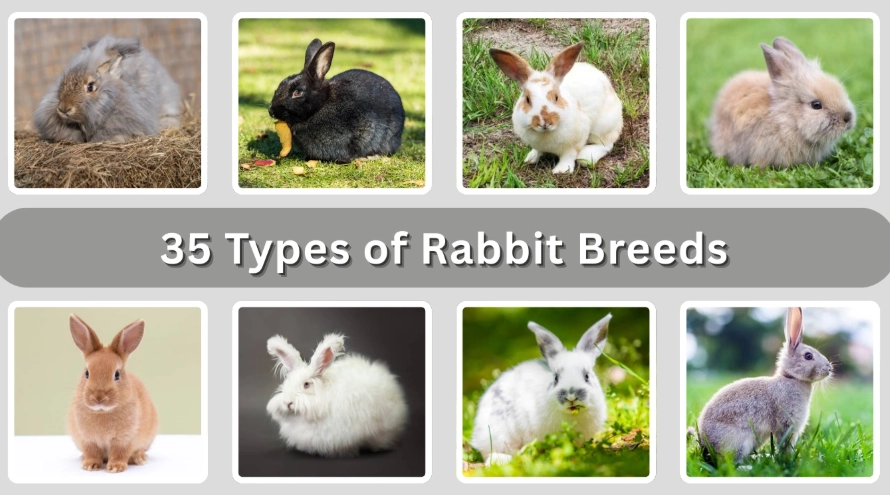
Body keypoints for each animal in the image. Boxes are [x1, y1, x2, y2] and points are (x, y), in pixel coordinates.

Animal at [67, 314, 158, 473]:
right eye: (87, 373)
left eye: (116, 374)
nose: (98, 397)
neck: (102, 412)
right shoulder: (88, 440)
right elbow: (92, 453)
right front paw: (89, 465)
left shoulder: (123, 440)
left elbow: (119, 453)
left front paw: (115, 467)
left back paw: (139, 458)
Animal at [490, 43, 623, 174]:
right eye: (527, 99)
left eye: (556, 97)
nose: (544, 122)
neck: (546, 133)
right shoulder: (537, 145)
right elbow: (537, 150)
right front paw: (530, 159)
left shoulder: (574, 143)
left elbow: (568, 156)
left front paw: (561, 170)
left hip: (603, 127)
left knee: (606, 145)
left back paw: (586, 156)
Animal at [697, 307, 834, 463]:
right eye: (808, 356)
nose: (829, 368)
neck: (791, 378)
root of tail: (705, 445)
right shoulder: (786, 422)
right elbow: (785, 444)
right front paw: (789, 459)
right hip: (741, 440)